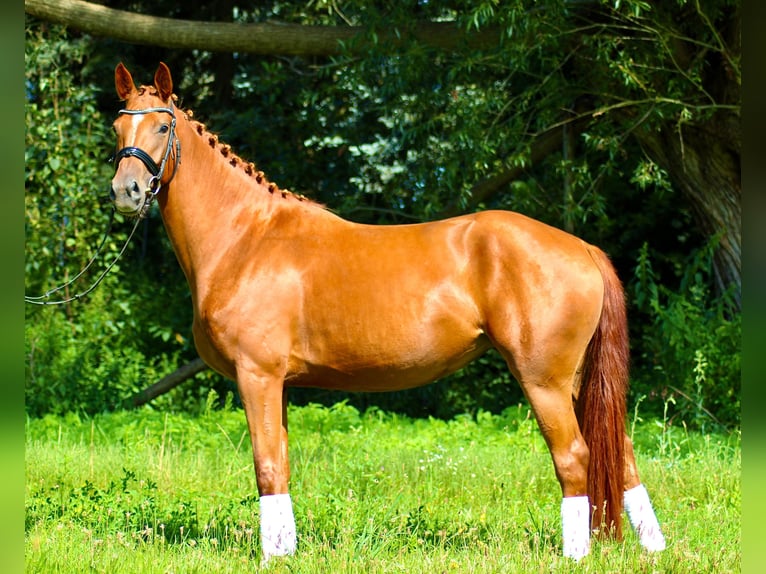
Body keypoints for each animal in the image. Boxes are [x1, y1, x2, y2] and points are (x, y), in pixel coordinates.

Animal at [109, 63, 664, 564]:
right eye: (117, 127)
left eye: (163, 127)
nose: (125, 191)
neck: (246, 239)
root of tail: (582, 247)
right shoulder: (278, 384)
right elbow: (281, 465)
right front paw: (286, 553)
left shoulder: (257, 376)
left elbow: (265, 466)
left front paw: (270, 559)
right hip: (579, 382)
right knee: (623, 457)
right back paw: (653, 548)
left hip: (544, 381)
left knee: (574, 459)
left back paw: (576, 555)